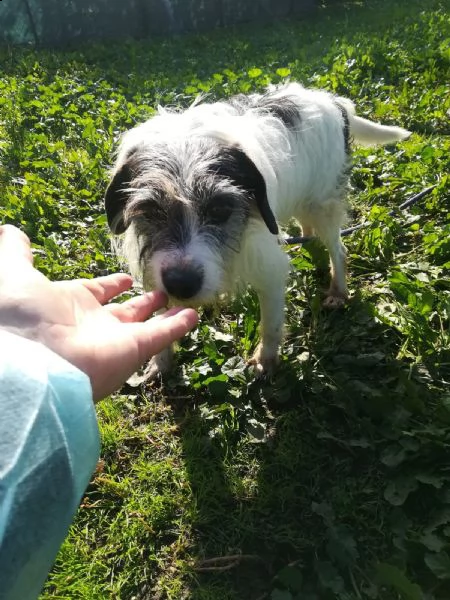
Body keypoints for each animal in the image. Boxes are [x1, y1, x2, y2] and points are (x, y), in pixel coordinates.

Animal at [105, 83, 412, 380]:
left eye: (220, 209)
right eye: (151, 211)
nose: (181, 284)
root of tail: (334, 102)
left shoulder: (270, 271)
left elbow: (271, 324)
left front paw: (265, 360)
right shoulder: (155, 273)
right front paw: (161, 361)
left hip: (323, 205)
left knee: (338, 249)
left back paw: (338, 290)